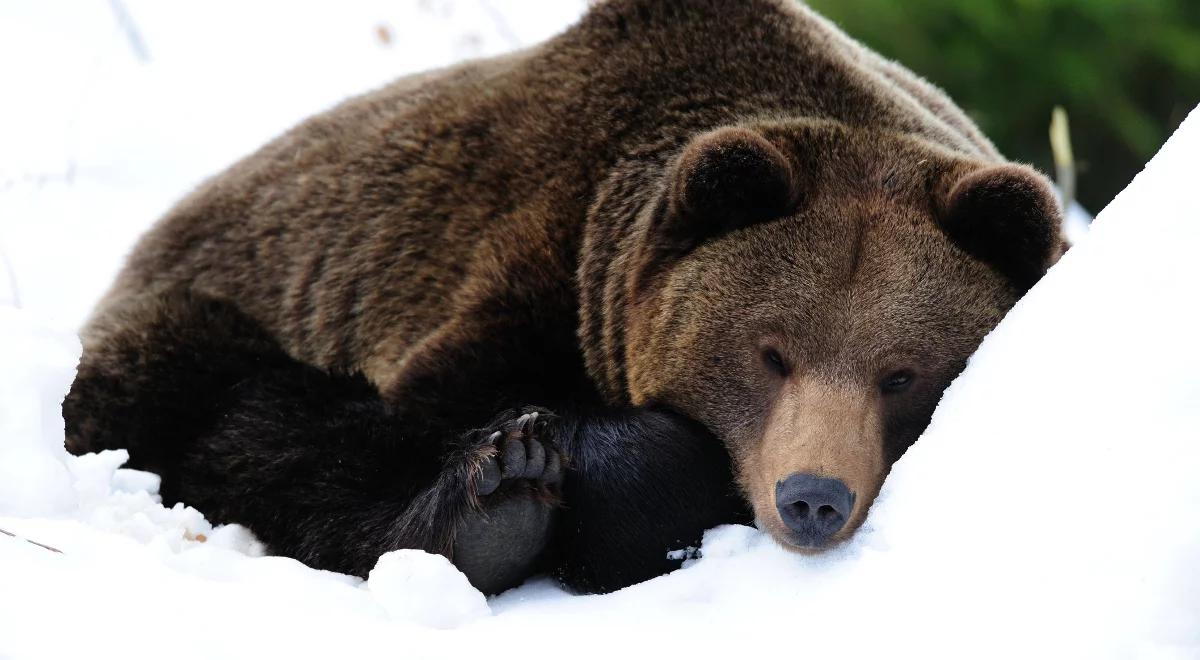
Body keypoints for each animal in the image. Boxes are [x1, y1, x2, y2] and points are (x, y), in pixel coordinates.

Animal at [63, 0, 1060, 597]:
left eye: (903, 373)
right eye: (771, 352)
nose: (812, 497)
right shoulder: (513, 268)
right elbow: (371, 435)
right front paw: (517, 479)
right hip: (217, 302)